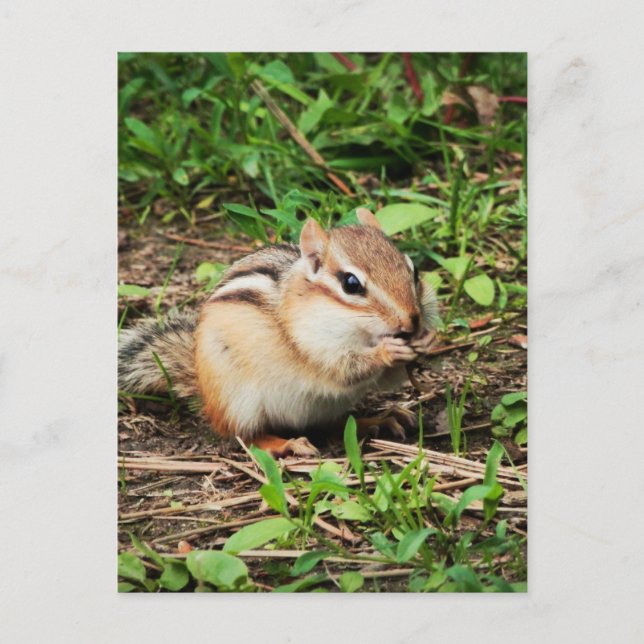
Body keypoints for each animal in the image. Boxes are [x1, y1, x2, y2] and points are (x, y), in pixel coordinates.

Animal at [118, 208, 438, 457]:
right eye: (351, 284)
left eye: (414, 271)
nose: (412, 321)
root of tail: (204, 392)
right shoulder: (313, 344)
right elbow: (343, 369)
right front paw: (387, 350)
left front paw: (428, 340)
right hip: (239, 403)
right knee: (245, 437)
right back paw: (287, 444)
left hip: (326, 408)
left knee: (335, 425)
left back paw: (378, 420)